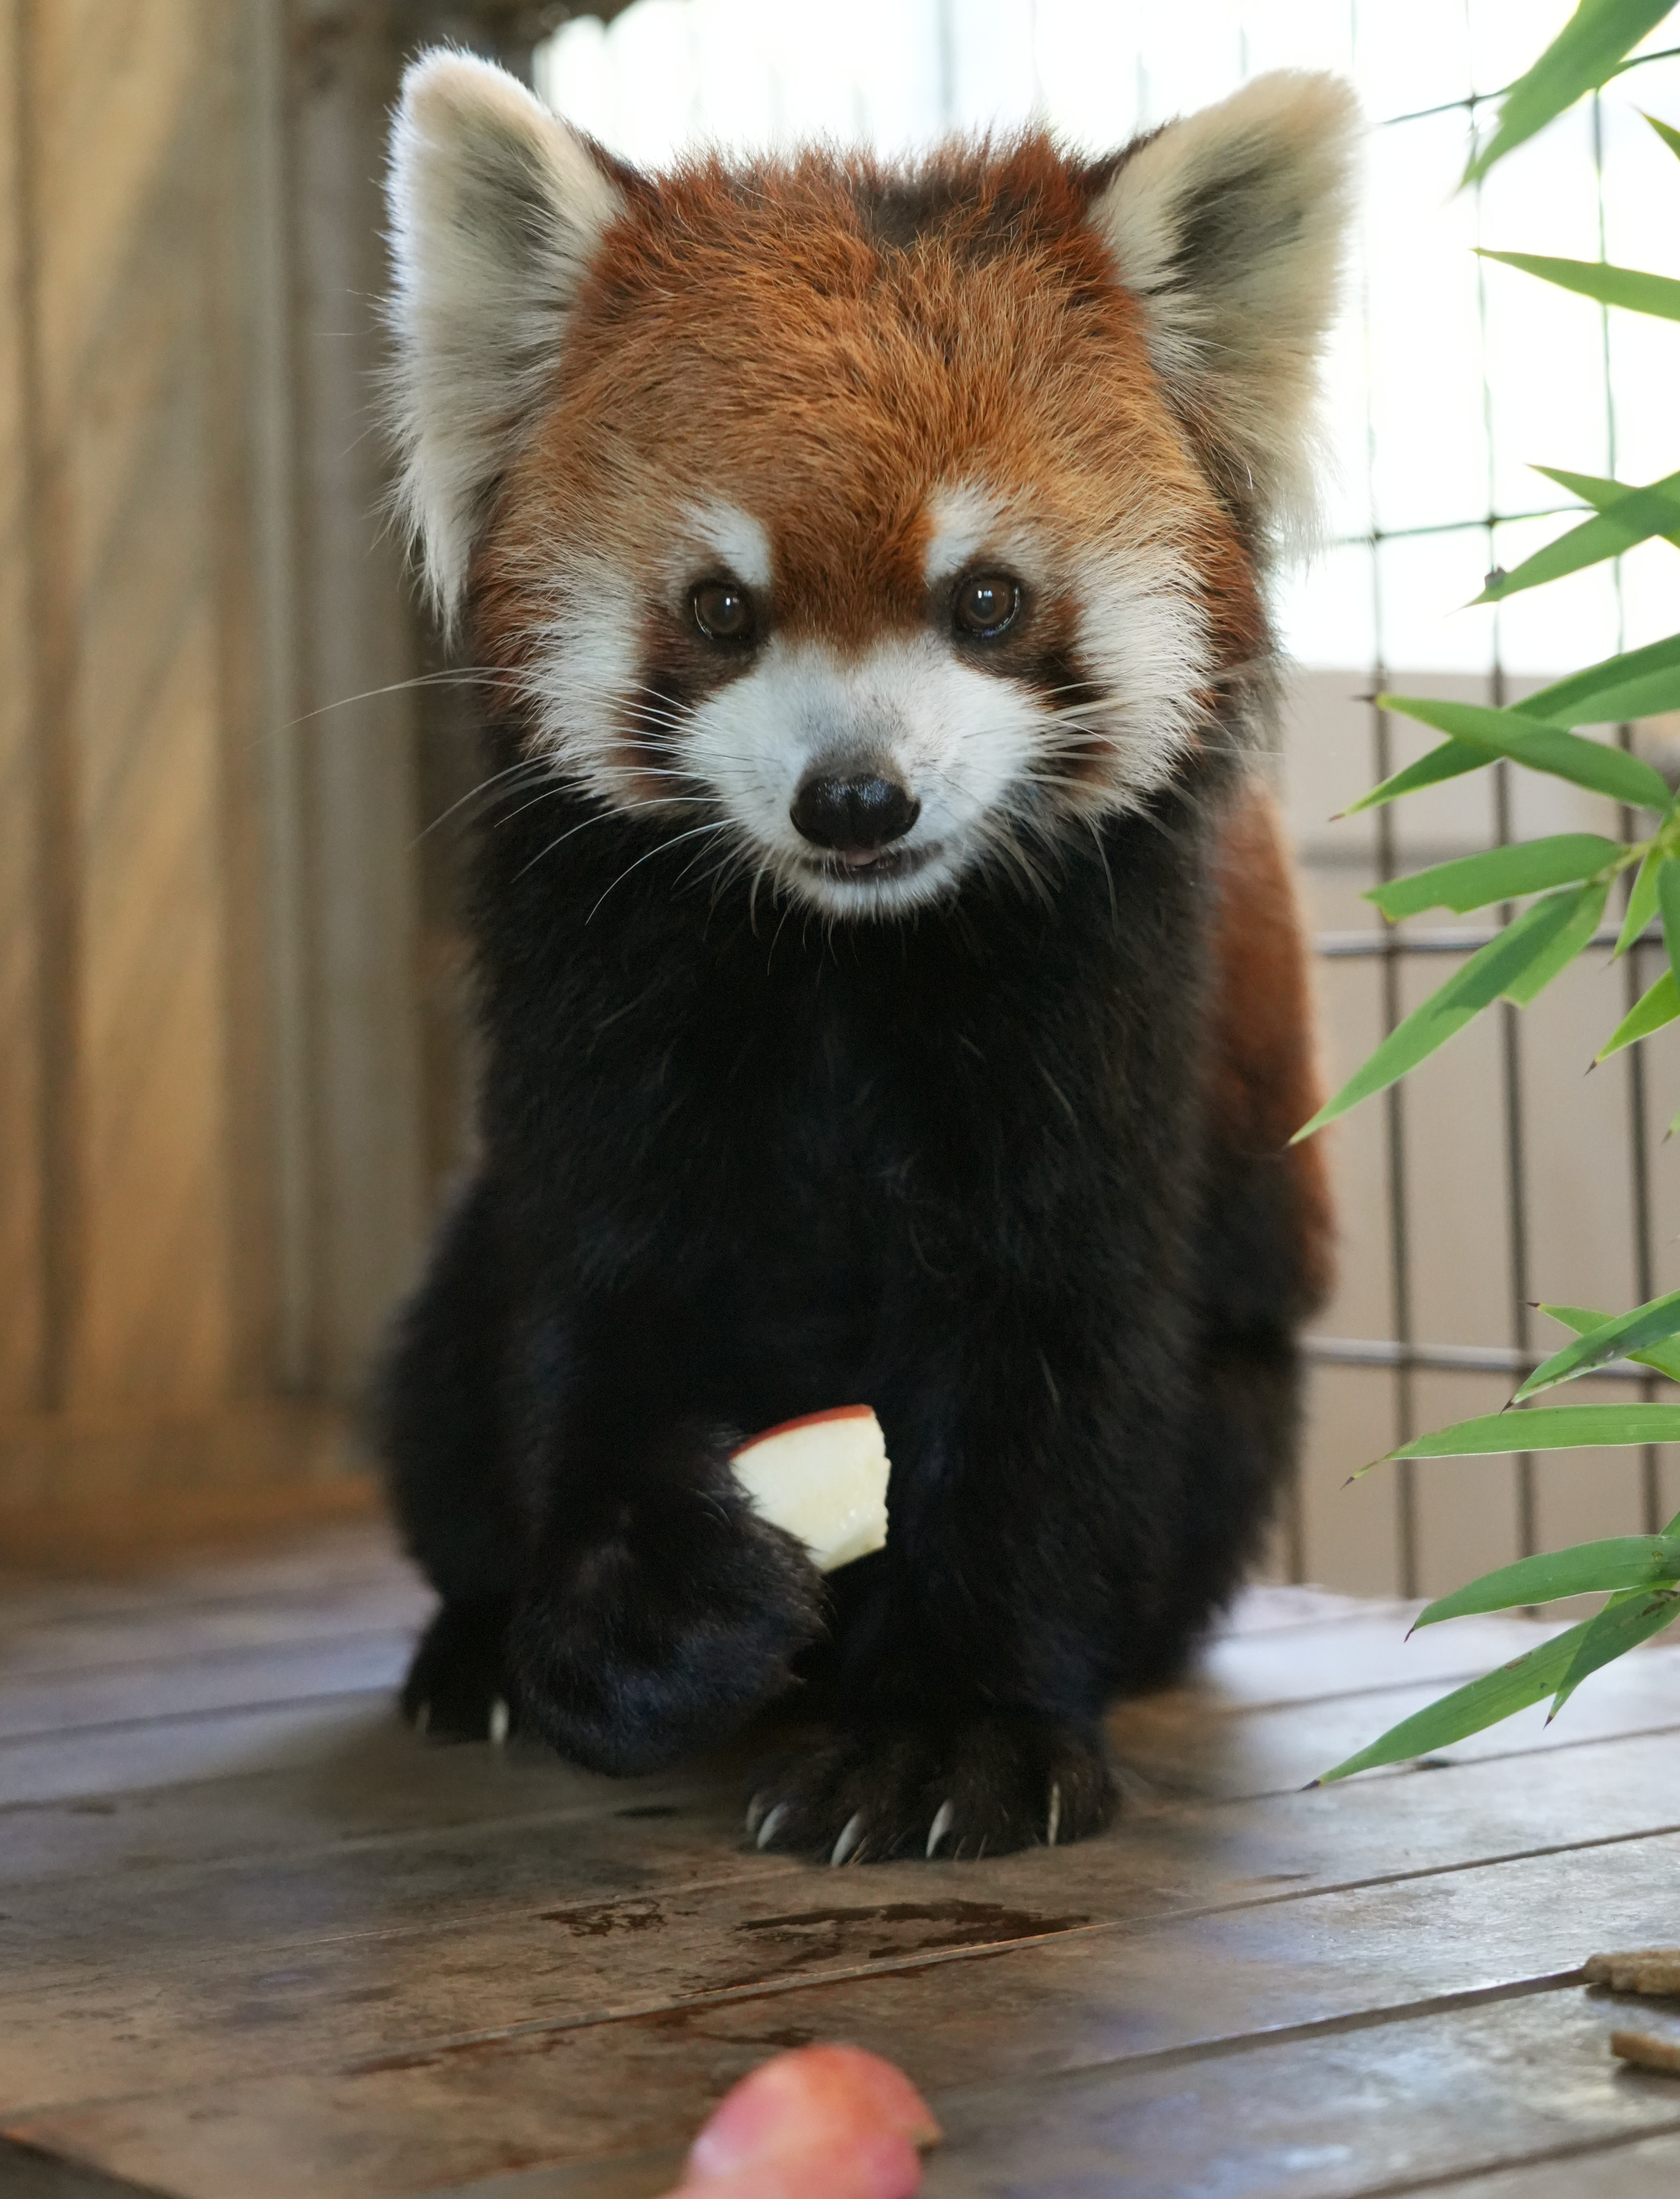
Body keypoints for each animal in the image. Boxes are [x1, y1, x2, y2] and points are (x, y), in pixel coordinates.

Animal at [380, 51, 1354, 1855]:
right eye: (719, 608)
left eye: (986, 600)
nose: (856, 799)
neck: (847, 948)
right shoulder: (599, 950)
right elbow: (607, 1275)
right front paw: (639, 1599)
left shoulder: (1111, 969)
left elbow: (1047, 1320)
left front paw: (953, 1724)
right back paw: (479, 1637)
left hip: (1246, 1374)